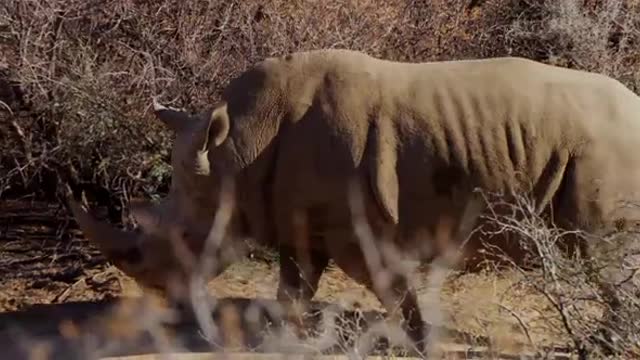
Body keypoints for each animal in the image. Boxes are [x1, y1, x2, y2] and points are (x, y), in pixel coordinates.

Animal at [69, 49, 640, 352]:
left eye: (185, 238)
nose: (165, 299)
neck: (237, 151)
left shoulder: (352, 228)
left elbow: (388, 283)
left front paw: (419, 342)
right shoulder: (298, 220)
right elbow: (294, 284)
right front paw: (284, 338)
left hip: (606, 149)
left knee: (601, 254)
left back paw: (604, 345)